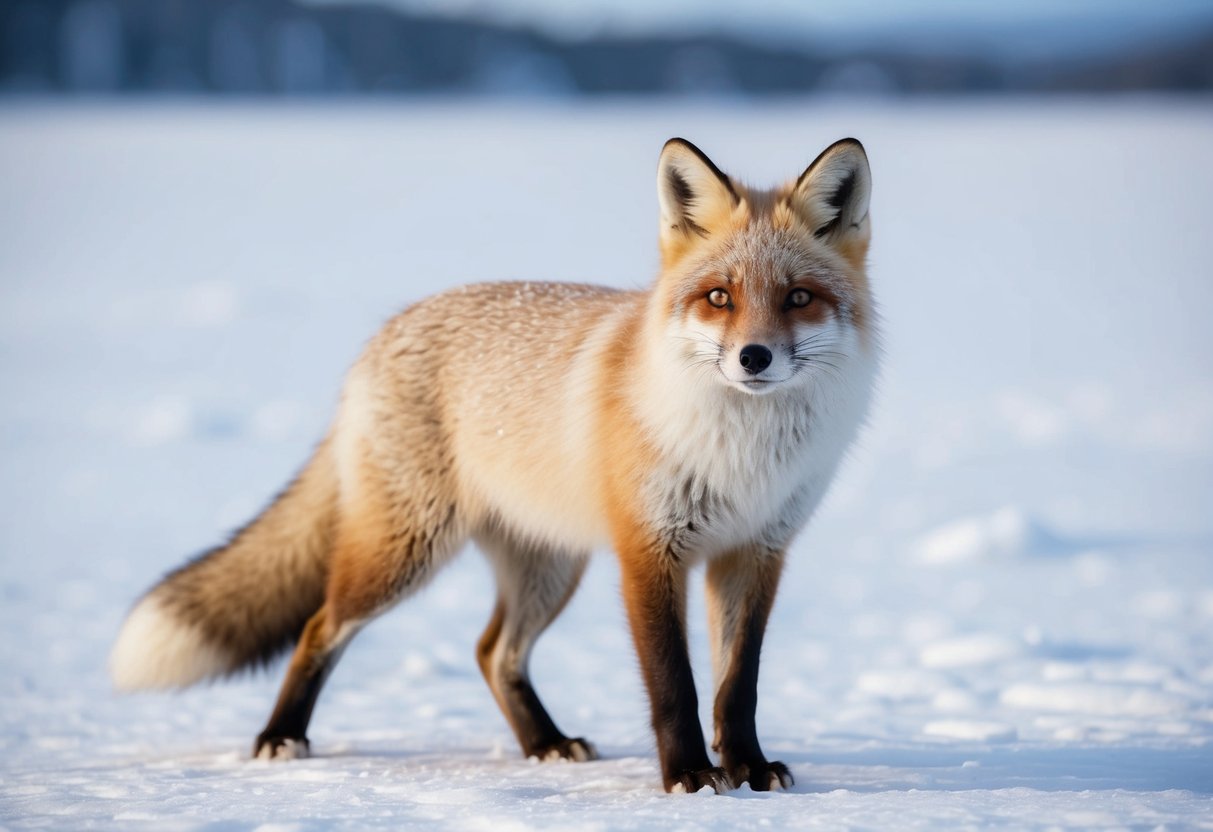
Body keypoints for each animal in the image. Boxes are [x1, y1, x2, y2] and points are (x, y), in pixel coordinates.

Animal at [110, 136, 877, 794]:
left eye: (798, 298)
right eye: (719, 296)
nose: (753, 357)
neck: (742, 454)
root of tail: (386, 330)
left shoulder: (756, 550)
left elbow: (737, 685)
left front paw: (747, 769)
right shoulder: (648, 550)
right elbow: (674, 684)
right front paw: (688, 775)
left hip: (549, 566)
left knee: (492, 651)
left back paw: (545, 744)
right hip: (404, 553)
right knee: (318, 627)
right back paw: (280, 738)